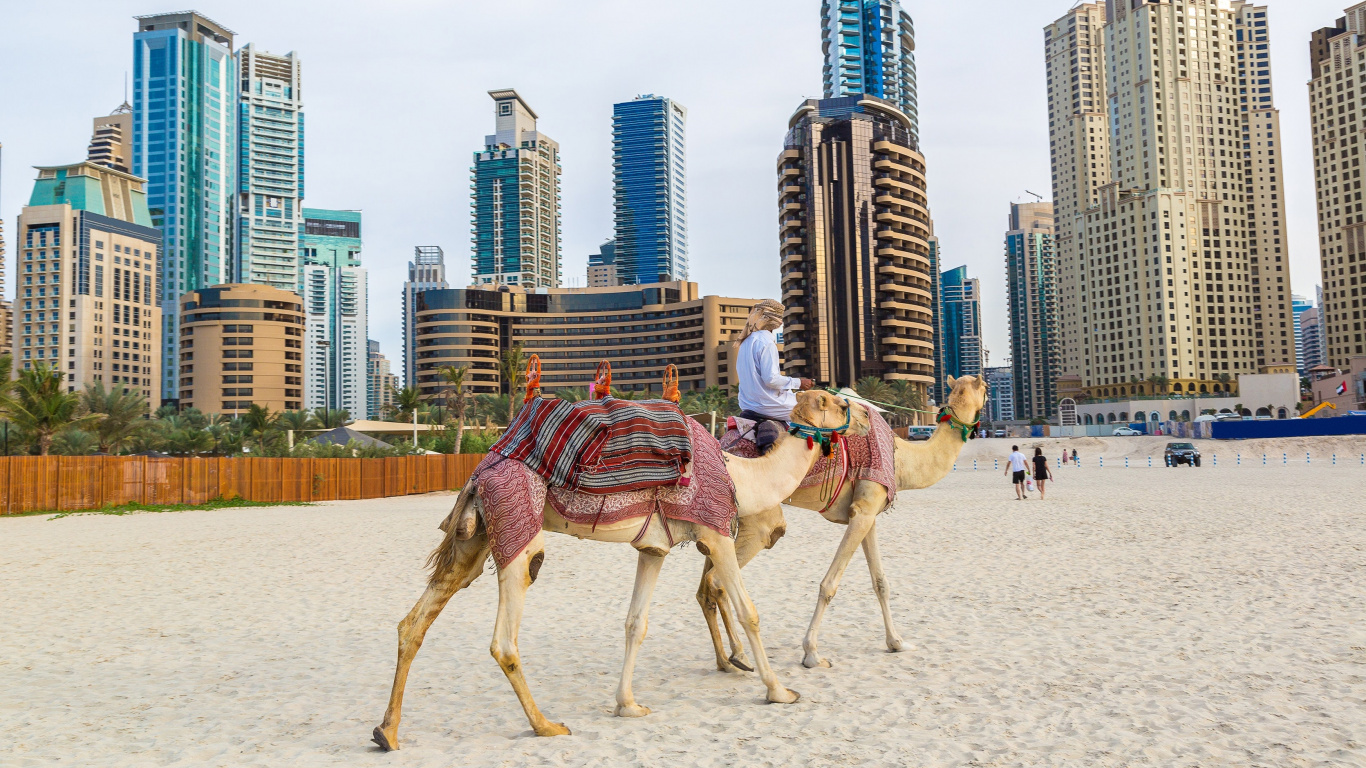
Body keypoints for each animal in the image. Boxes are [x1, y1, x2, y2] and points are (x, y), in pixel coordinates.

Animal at [372, 390, 856, 750]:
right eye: (833, 402)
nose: (859, 412)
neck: (741, 477)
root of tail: (480, 472)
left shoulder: (654, 548)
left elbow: (635, 623)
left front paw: (628, 705)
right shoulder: (716, 532)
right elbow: (749, 612)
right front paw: (780, 691)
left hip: (475, 538)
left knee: (415, 621)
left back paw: (387, 732)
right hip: (516, 522)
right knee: (505, 635)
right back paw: (546, 726)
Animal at [698, 374, 989, 673]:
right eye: (986, 388)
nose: (987, 403)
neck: (901, 458)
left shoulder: (868, 512)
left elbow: (880, 582)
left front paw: (897, 642)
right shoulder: (863, 510)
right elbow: (829, 585)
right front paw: (812, 653)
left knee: (705, 587)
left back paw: (728, 661)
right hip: (759, 520)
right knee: (720, 577)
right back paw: (739, 656)